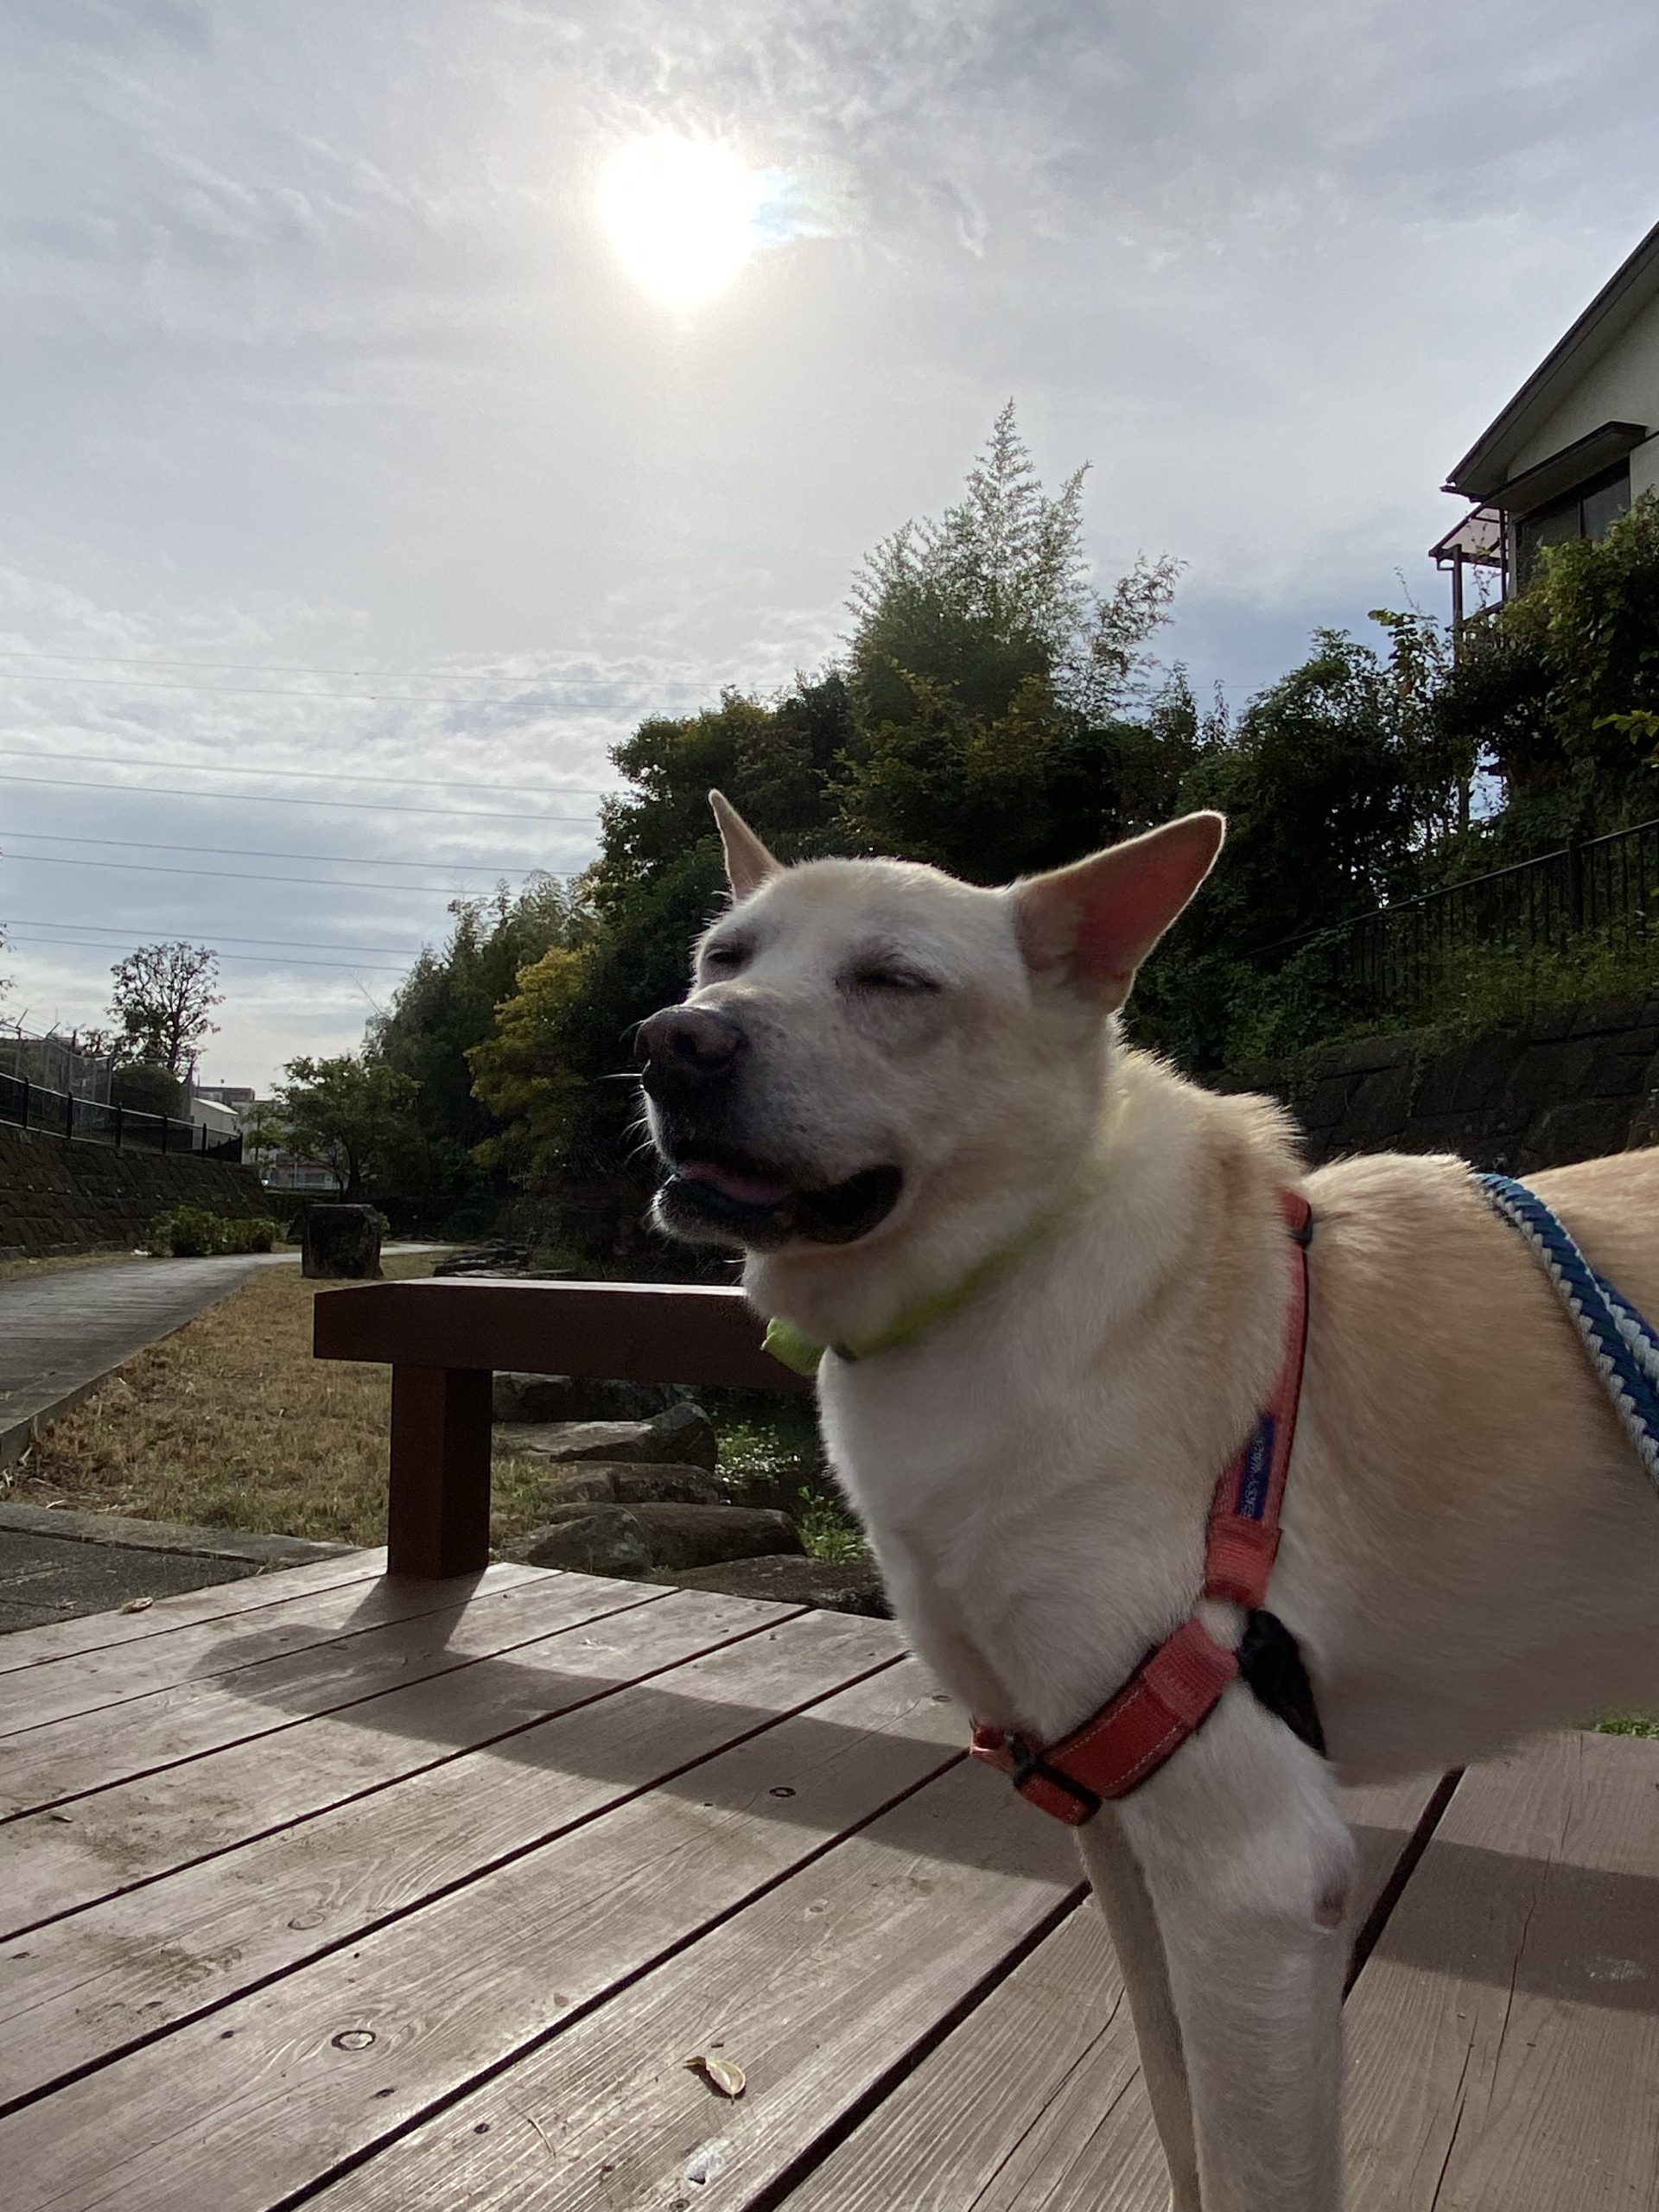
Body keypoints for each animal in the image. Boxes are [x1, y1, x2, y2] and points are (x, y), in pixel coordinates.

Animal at [639, 793, 1659, 2212]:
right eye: (722, 958)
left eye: (895, 981)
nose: (670, 1044)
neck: (998, 1277)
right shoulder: (1118, 1826)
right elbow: (1182, 2123)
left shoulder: (1253, 1873)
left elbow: (1253, 2167)